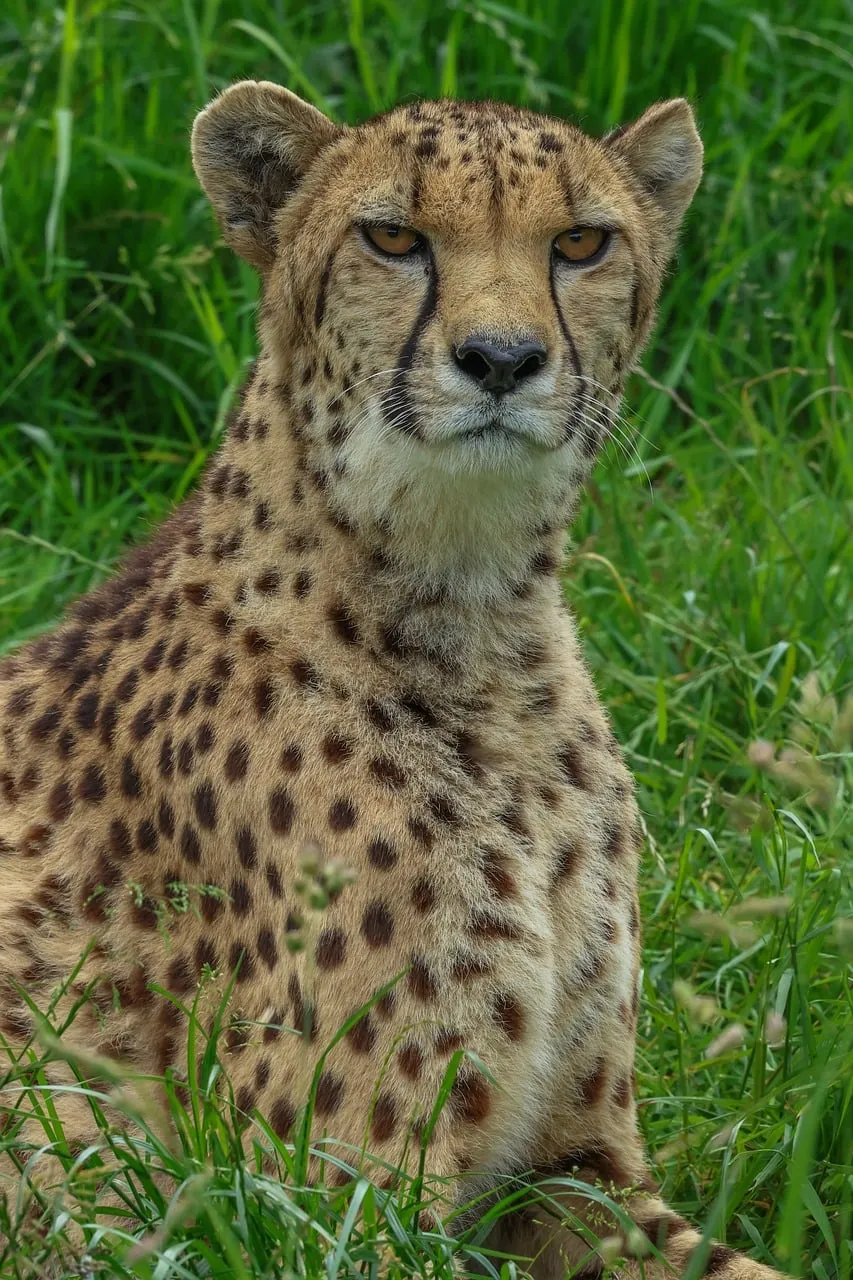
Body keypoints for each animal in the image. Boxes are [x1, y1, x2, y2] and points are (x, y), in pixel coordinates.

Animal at [0, 79, 786, 1278]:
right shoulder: (326, 1208)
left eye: (579, 242)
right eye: (393, 238)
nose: (501, 359)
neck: (478, 626)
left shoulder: (577, 1171)